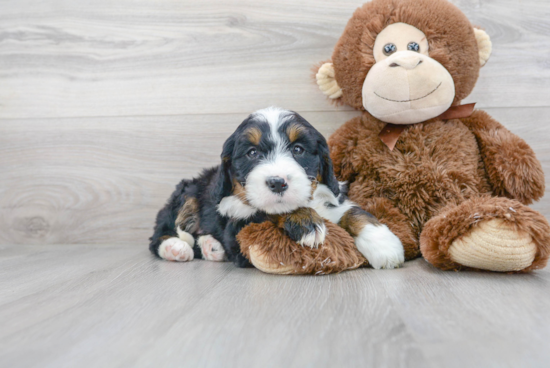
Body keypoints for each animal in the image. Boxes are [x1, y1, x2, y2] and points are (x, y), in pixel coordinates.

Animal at [150, 108, 406, 268]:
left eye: (298, 150)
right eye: (252, 153)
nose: (277, 182)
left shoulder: (331, 198)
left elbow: (354, 212)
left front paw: (384, 244)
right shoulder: (237, 229)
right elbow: (266, 212)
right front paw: (305, 222)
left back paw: (211, 247)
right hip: (186, 194)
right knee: (160, 233)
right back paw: (175, 247)